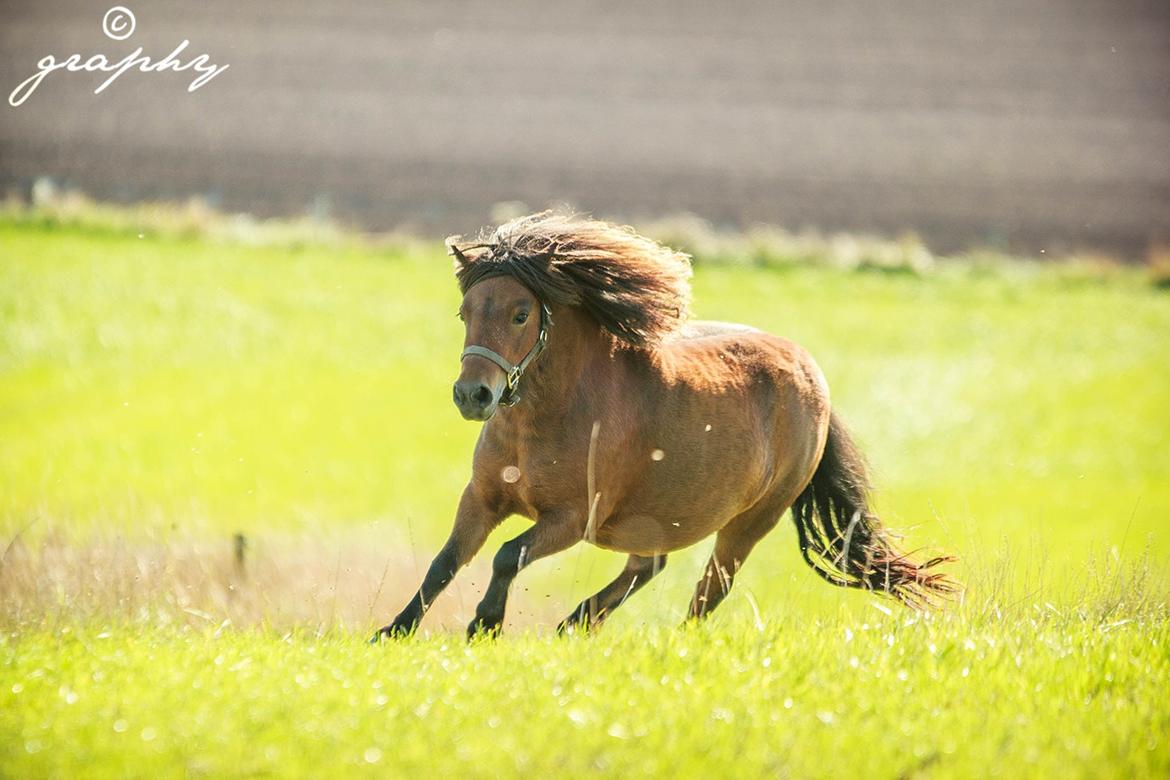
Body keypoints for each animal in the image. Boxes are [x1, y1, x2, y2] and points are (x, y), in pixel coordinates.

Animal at [374, 209, 959, 640]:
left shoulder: (574, 518)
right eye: (466, 312)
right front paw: (394, 631)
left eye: (521, 314)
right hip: (662, 515)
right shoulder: (483, 498)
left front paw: (485, 624)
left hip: (749, 523)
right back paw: (576, 623)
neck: (546, 418)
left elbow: (505, 555)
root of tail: (813, 375)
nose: (473, 396)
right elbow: (445, 562)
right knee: (649, 567)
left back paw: (659, 642)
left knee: (708, 591)